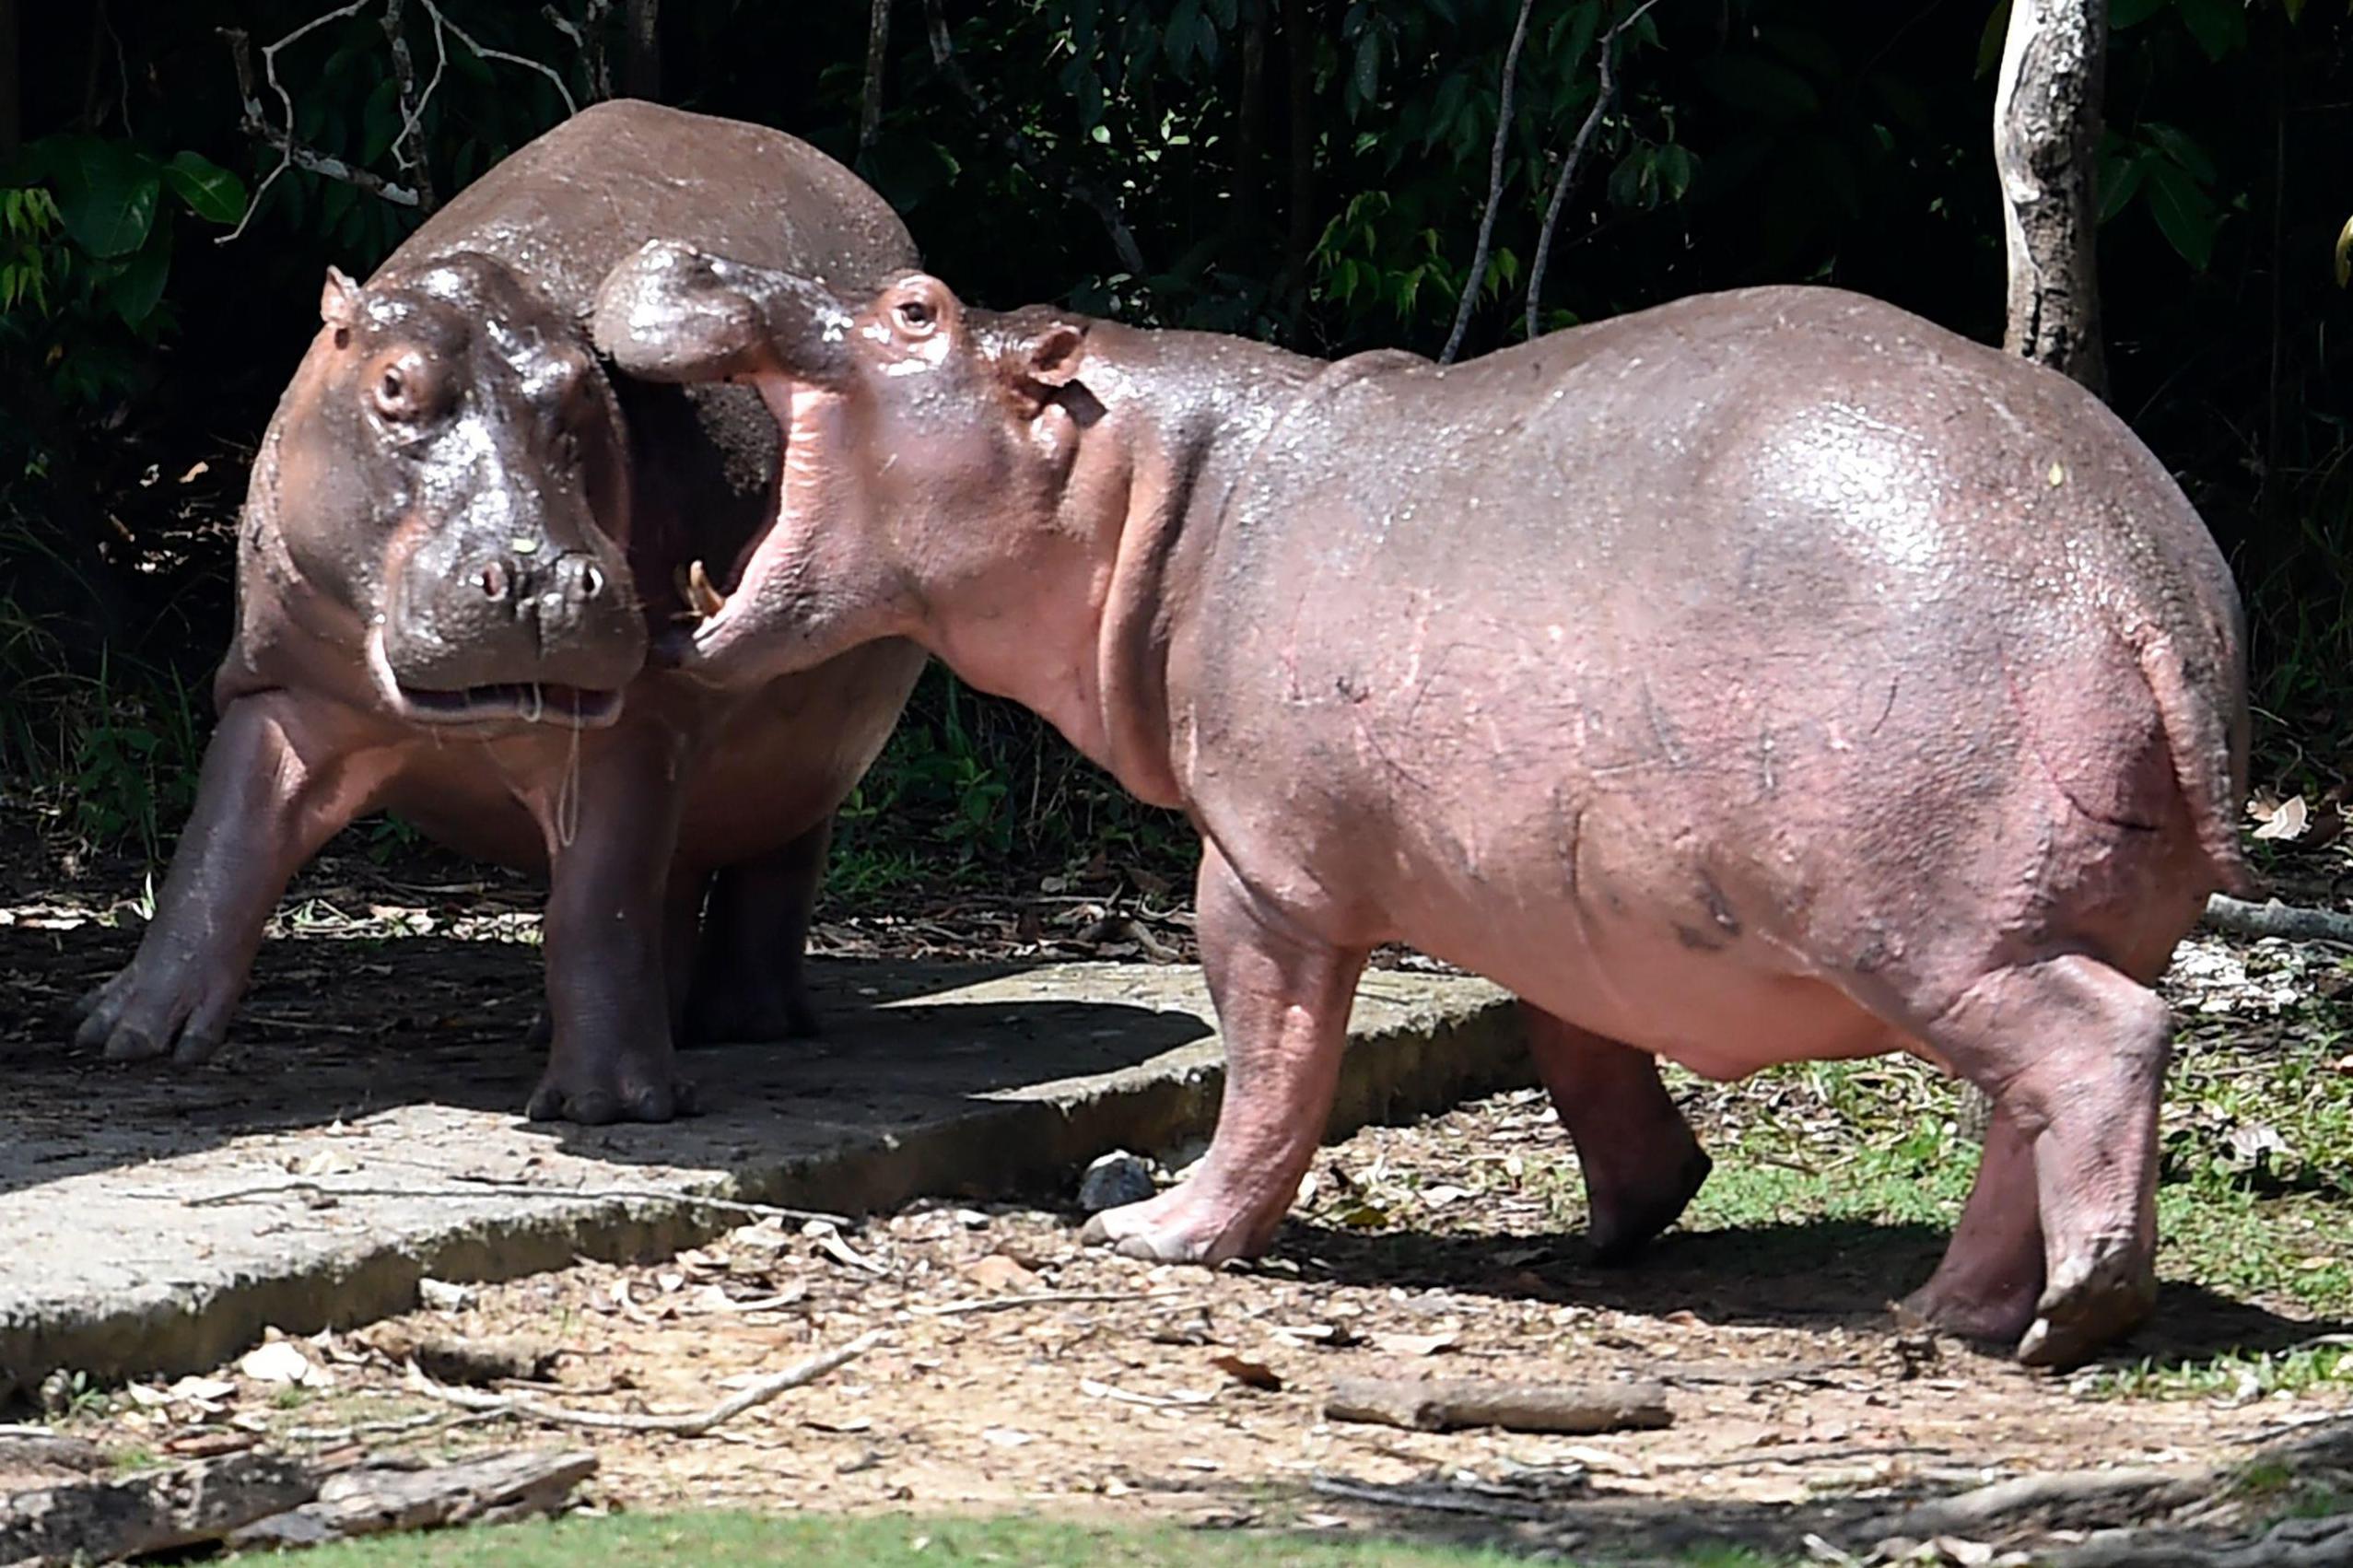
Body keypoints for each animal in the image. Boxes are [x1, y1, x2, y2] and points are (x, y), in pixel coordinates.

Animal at [73, 103, 925, 1123]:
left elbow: (595, 905)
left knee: (768, 870)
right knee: (678, 877)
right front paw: (122, 1037)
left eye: (586, 392)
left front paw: (612, 1106)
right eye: (392, 386)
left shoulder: (636, 728)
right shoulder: (280, 688)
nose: (540, 579)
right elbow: (223, 847)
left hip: (812, 750)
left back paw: (748, 1022)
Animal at [589, 242, 2249, 1366]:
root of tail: (2131, 579)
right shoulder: (1555, 889)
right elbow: (1576, 1046)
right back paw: (1944, 1310)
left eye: (915, 307)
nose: (685, 254)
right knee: (2028, 1102)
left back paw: (2060, 1318)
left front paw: (1161, 1231)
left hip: (1927, 929)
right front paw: (1627, 1218)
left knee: (2098, 1048)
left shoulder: (1257, 874)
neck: (1146, 486)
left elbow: (1268, 1068)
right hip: (2030, 916)